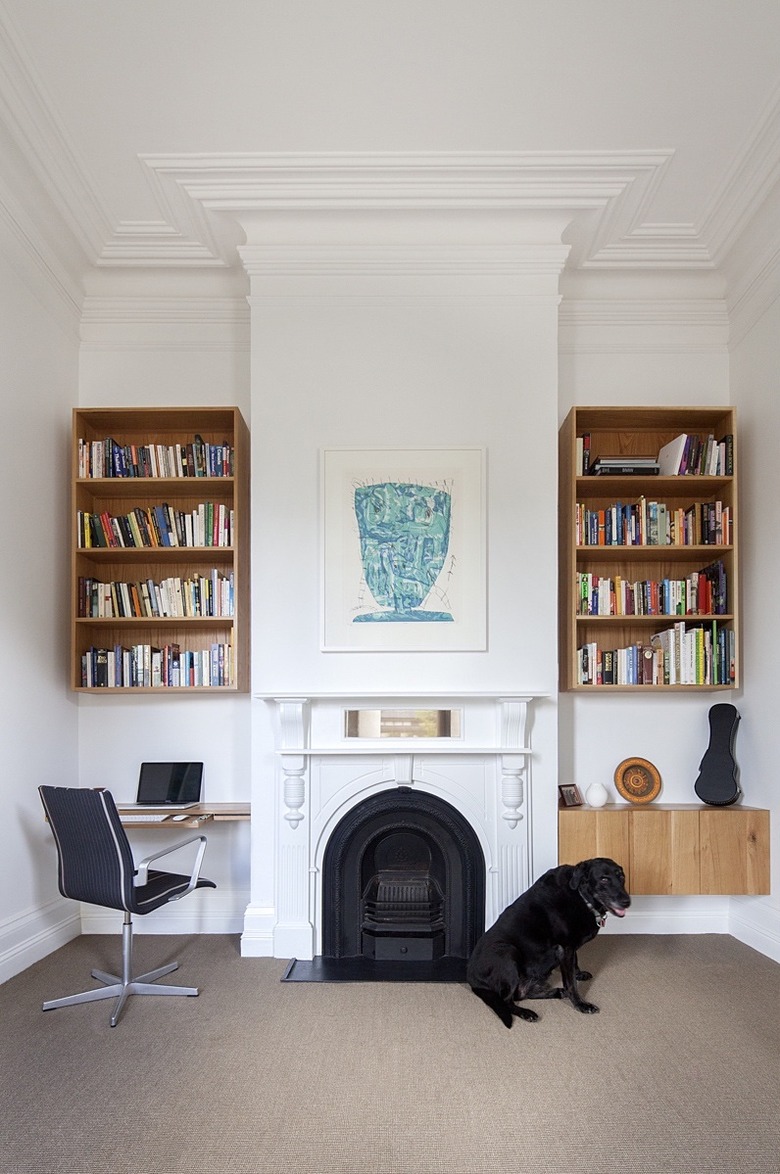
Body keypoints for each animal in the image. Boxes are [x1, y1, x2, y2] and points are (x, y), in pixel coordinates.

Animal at [465, 854, 629, 1028]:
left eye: (621, 877)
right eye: (604, 879)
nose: (627, 901)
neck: (581, 896)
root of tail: (472, 979)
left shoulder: (569, 947)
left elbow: (575, 963)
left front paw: (579, 973)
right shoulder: (565, 947)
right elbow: (570, 983)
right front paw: (581, 1004)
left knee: (522, 994)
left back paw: (557, 992)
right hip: (507, 951)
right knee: (507, 1000)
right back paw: (527, 1012)